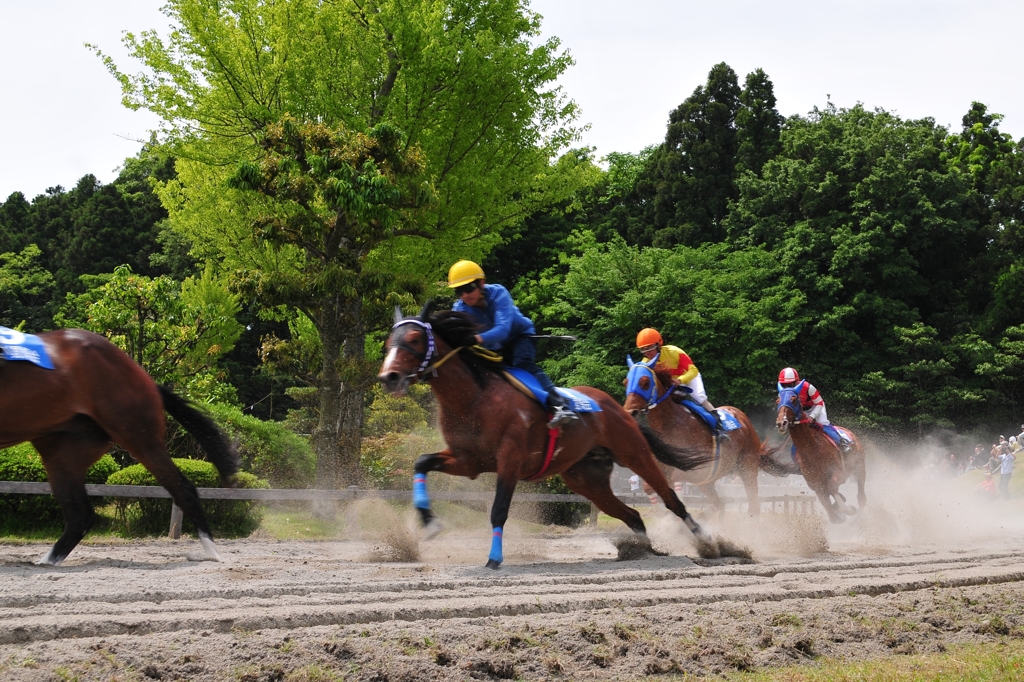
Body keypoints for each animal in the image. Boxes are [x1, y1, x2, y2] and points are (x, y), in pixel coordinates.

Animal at [0, 327, 237, 561]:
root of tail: (145, 378)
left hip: (138, 436)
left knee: (183, 489)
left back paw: (213, 554)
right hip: (62, 453)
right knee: (80, 516)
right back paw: (46, 561)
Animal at [376, 305, 712, 565]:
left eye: (415, 338)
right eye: (389, 340)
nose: (388, 377)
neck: (474, 398)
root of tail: (619, 407)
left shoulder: (510, 460)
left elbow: (499, 510)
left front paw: (494, 558)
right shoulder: (468, 460)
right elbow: (421, 462)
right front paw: (429, 521)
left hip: (635, 454)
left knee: (671, 500)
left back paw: (710, 543)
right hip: (586, 479)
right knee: (632, 515)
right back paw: (643, 551)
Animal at [618, 356, 794, 516]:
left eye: (645, 382)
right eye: (626, 382)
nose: (629, 412)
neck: (671, 424)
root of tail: (741, 416)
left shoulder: (694, 470)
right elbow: (650, 488)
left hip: (747, 466)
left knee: (753, 505)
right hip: (711, 480)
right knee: (719, 504)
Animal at [774, 382, 864, 520]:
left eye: (793, 400)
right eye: (777, 401)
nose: (781, 423)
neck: (812, 450)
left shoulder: (839, 473)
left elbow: (833, 488)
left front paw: (847, 509)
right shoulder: (816, 485)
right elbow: (832, 512)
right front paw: (839, 508)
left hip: (859, 467)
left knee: (861, 495)